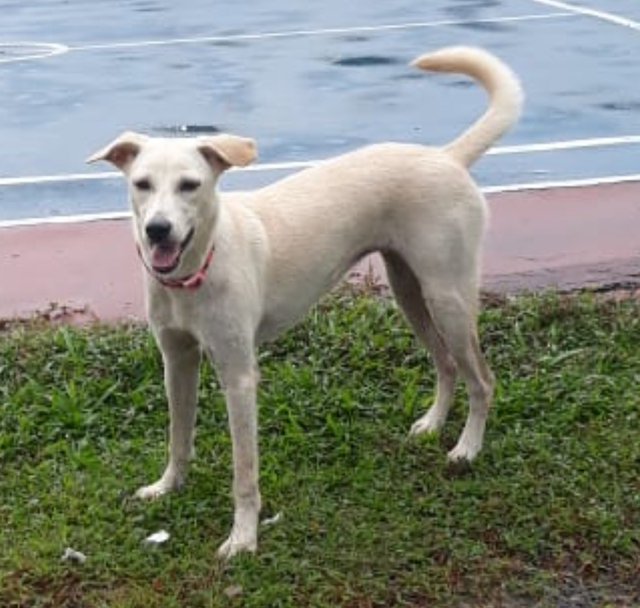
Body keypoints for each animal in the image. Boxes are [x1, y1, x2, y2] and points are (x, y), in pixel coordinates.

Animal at [87, 47, 524, 560]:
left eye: (190, 185)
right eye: (142, 184)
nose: (157, 230)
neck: (196, 273)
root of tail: (446, 156)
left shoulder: (239, 377)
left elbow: (244, 472)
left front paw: (244, 537)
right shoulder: (176, 361)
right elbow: (179, 438)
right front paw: (168, 487)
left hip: (448, 297)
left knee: (483, 379)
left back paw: (466, 449)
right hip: (409, 292)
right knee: (447, 364)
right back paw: (434, 424)